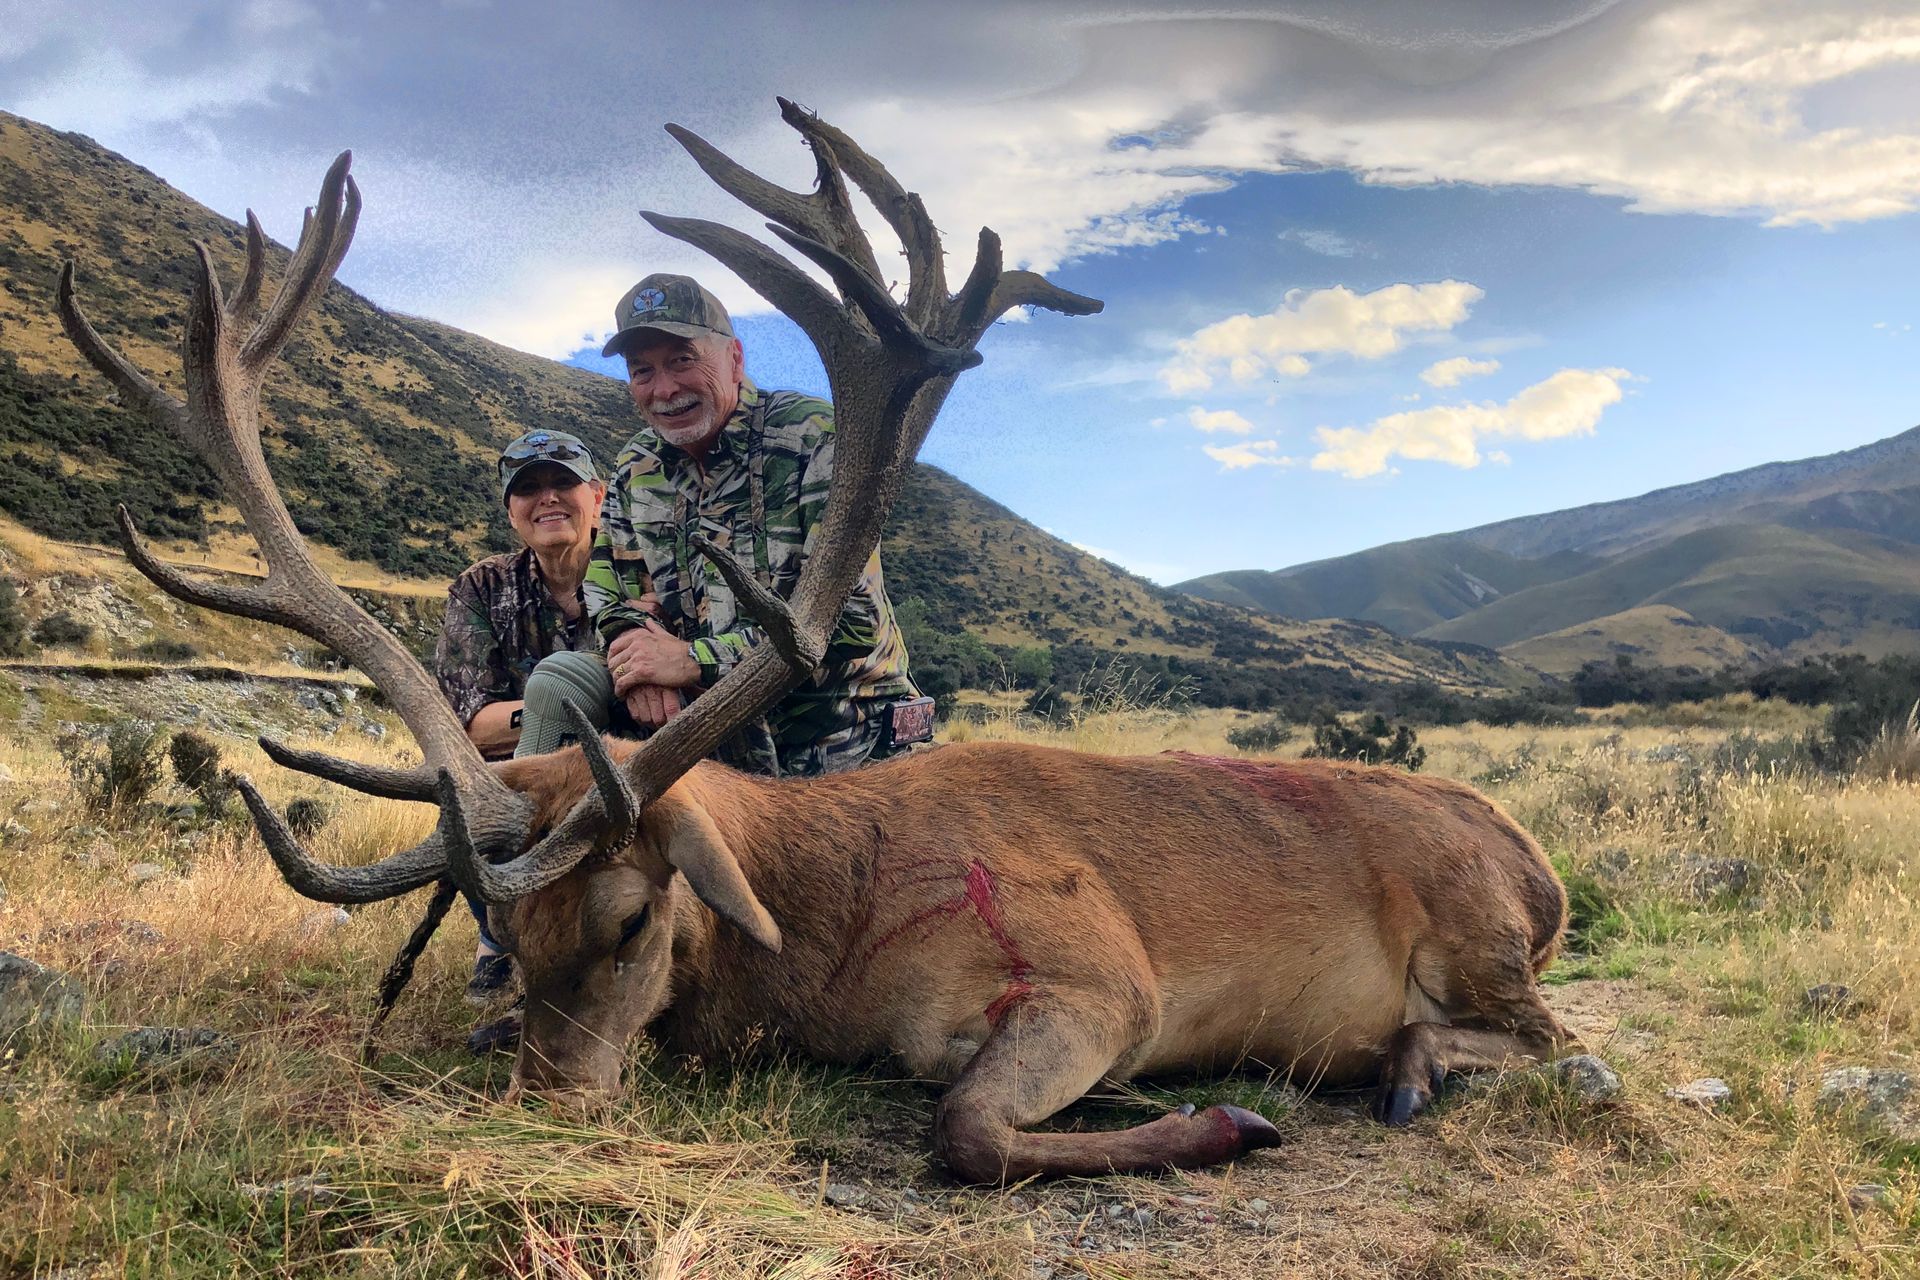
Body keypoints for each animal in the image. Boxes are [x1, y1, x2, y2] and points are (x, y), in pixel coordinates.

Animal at [55, 100, 1576, 1185]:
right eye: (502, 931)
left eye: (631, 918)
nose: (550, 1100)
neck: (825, 937)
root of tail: (1538, 862)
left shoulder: (1103, 978)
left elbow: (964, 1130)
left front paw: (1225, 1124)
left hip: (1481, 938)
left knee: (1555, 1040)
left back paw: (1404, 1066)